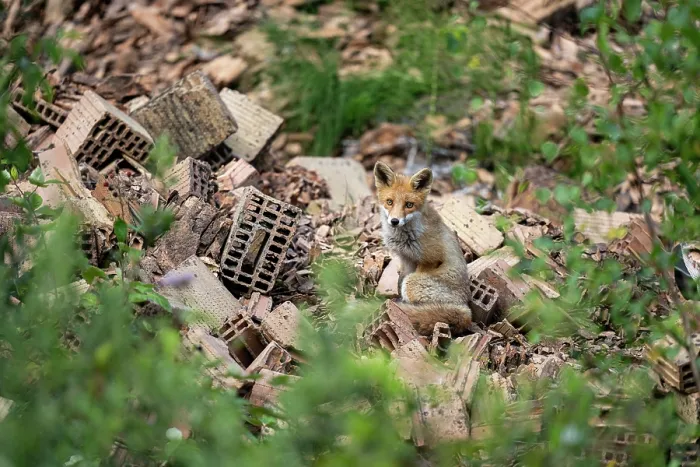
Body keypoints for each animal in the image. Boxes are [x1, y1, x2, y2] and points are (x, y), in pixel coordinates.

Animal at [373, 161, 472, 335]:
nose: (394, 221)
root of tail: (465, 308)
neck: (405, 237)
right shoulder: (406, 259)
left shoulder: (431, 258)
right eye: (389, 202)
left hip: (413, 283)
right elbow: (399, 281)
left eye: (409, 205)